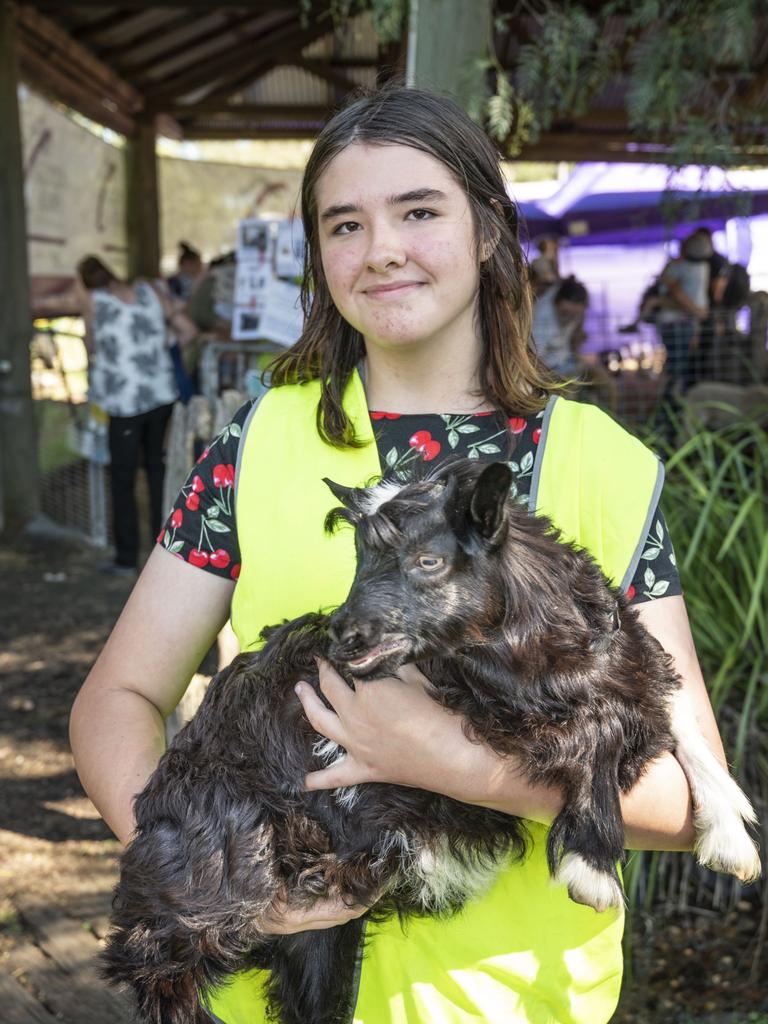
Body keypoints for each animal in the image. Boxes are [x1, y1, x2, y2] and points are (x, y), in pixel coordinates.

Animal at [103, 460, 765, 1019]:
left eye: (428, 562)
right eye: (358, 558)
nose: (343, 636)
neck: (540, 652)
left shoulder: (625, 661)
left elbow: (670, 709)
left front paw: (730, 832)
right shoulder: (489, 711)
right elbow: (600, 726)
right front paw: (594, 864)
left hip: (318, 944)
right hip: (213, 888)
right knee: (159, 973)